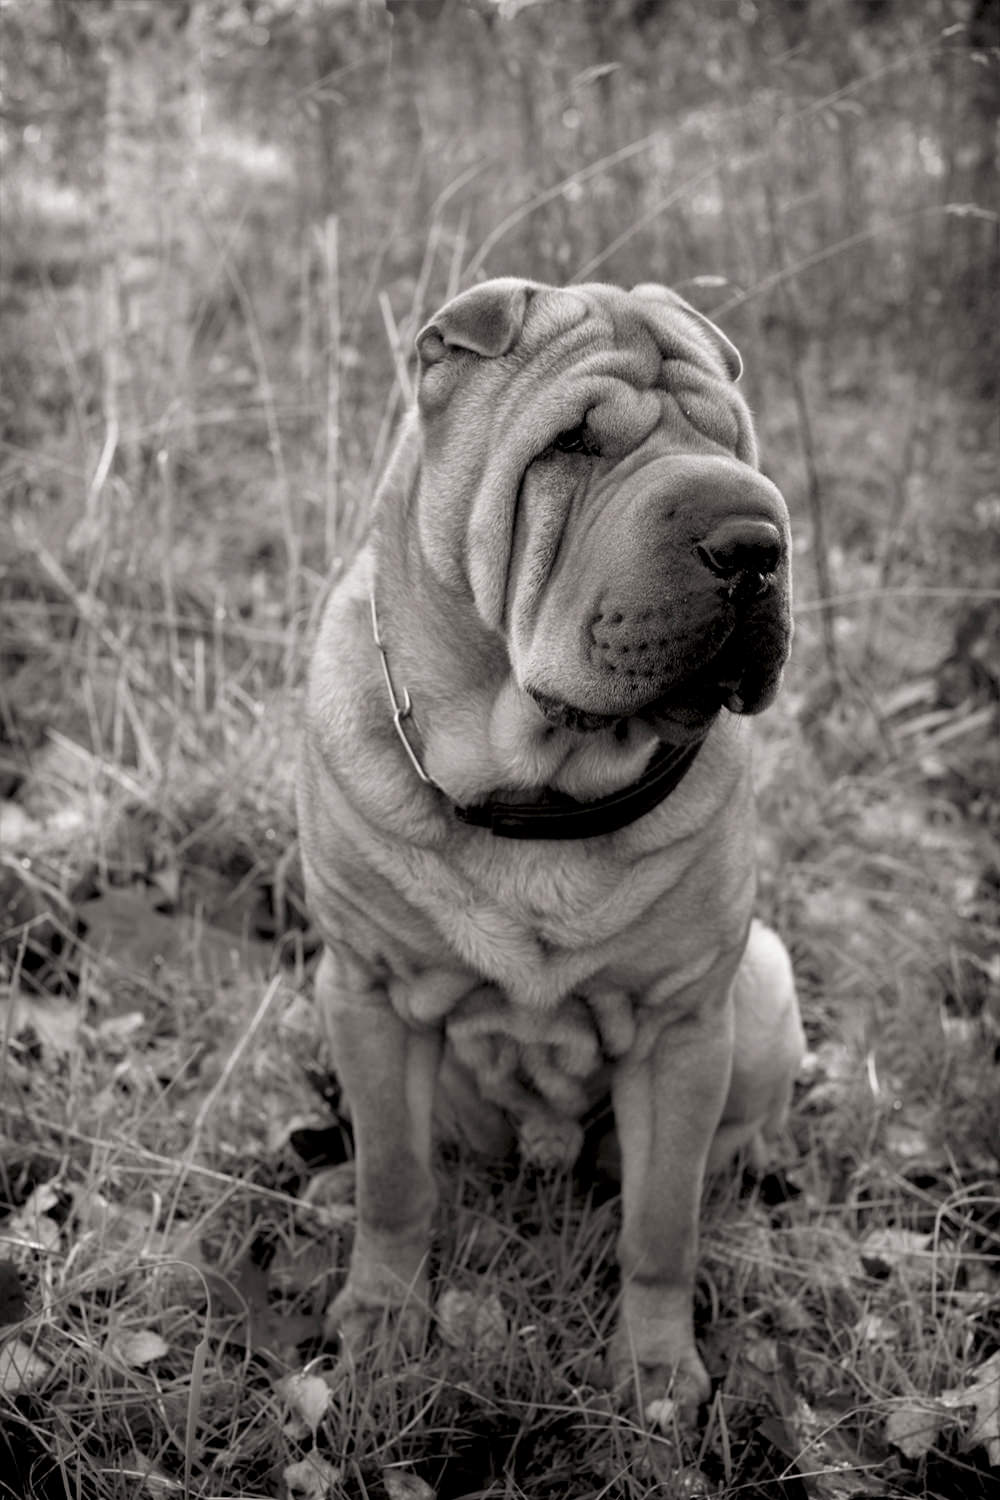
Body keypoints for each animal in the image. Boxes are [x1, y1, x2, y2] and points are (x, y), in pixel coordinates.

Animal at [295, 279, 803, 1416]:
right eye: (572, 444)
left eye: (733, 442)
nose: (753, 540)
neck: (537, 786)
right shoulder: (369, 989)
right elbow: (397, 1180)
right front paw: (380, 1318)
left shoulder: (680, 1031)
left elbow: (660, 1226)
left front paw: (656, 1378)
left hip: (761, 979)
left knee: (721, 1142)